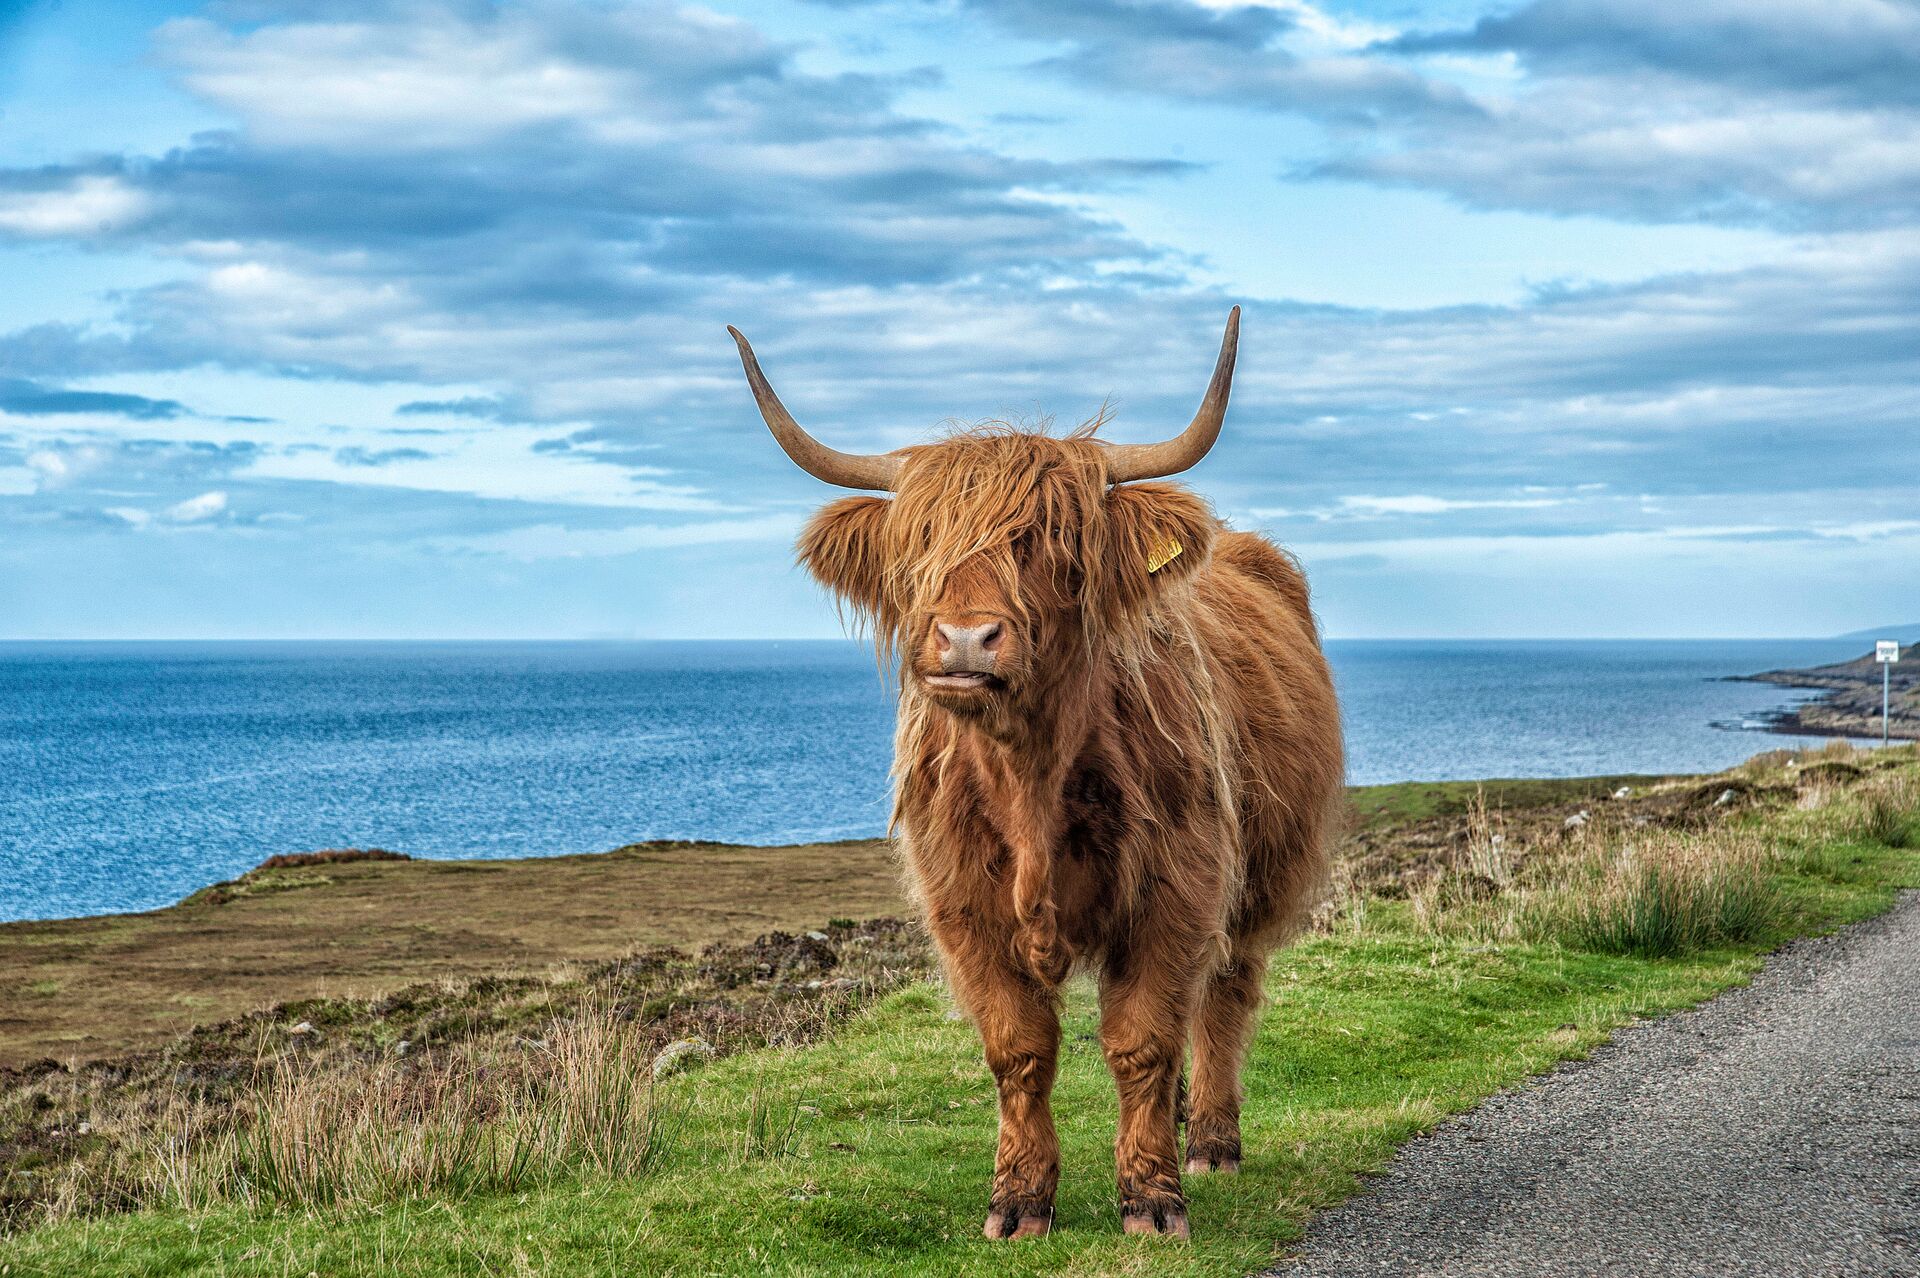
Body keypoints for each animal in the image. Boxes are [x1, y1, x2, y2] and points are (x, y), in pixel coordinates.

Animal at [729, 308, 1344, 1241]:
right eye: (920, 547)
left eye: (1048, 544)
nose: (965, 640)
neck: (1029, 778)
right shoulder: (962, 905)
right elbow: (1019, 1049)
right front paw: (1019, 1201)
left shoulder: (1179, 887)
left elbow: (1141, 1039)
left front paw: (1153, 1199)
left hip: (1257, 879)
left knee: (1224, 999)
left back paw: (1210, 1142)